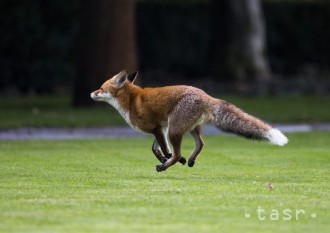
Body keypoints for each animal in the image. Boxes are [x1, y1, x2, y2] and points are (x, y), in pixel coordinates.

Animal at [91, 70, 288, 172]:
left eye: (100, 88)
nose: (91, 93)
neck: (131, 101)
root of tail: (207, 96)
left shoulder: (157, 129)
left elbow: (165, 150)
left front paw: (169, 160)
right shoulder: (161, 127)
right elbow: (156, 149)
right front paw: (168, 158)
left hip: (175, 130)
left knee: (181, 150)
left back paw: (165, 167)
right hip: (188, 128)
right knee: (201, 144)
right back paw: (190, 160)